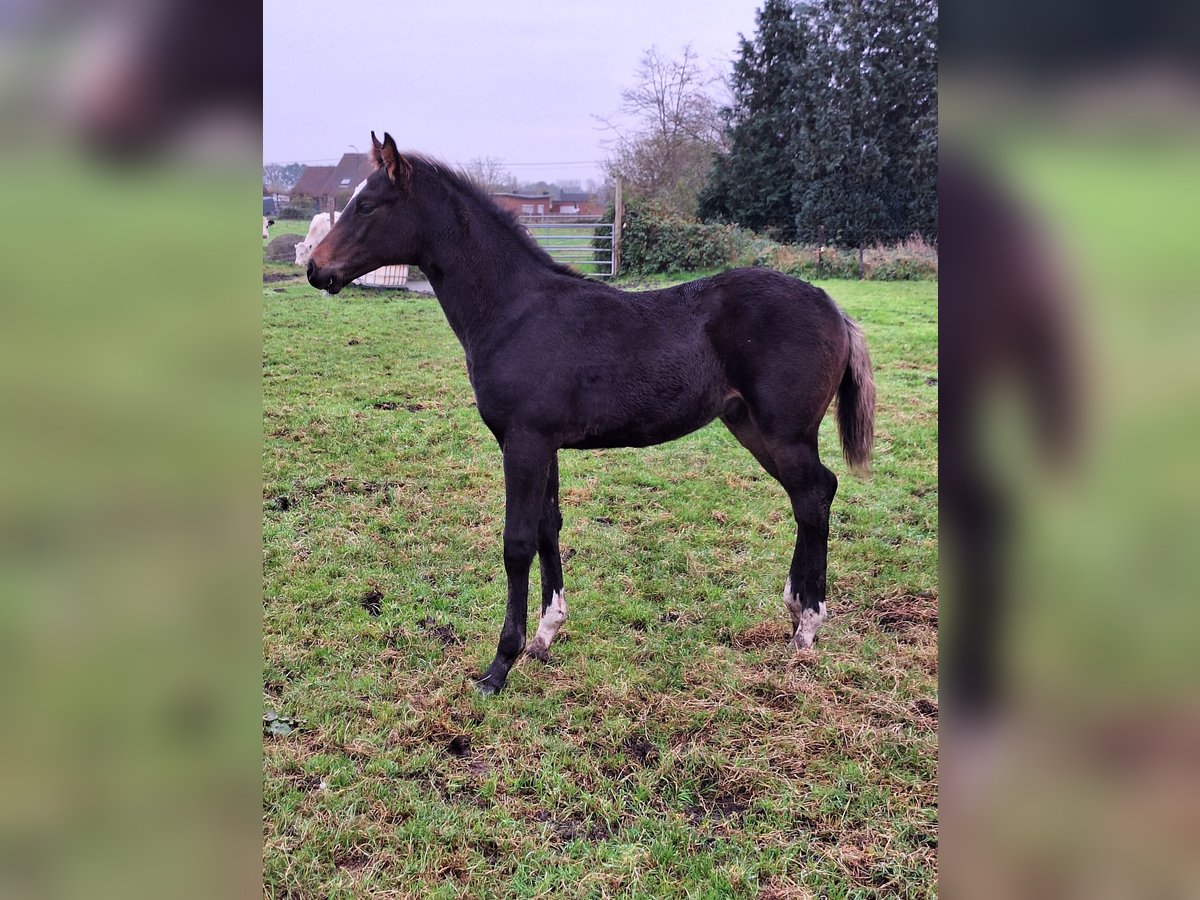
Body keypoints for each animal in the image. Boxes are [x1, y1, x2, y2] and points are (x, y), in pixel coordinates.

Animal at [307, 132, 873, 696]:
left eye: (366, 205)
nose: (316, 269)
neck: (515, 310)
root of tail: (833, 307)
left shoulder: (525, 440)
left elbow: (517, 542)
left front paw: (500, 664)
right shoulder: (543, 443)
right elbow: (547, 527)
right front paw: (545, 634)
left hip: (784, 432)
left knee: (815, 495)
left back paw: (808, 627)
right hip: (751, 427)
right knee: (810, 496)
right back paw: (796, 611)